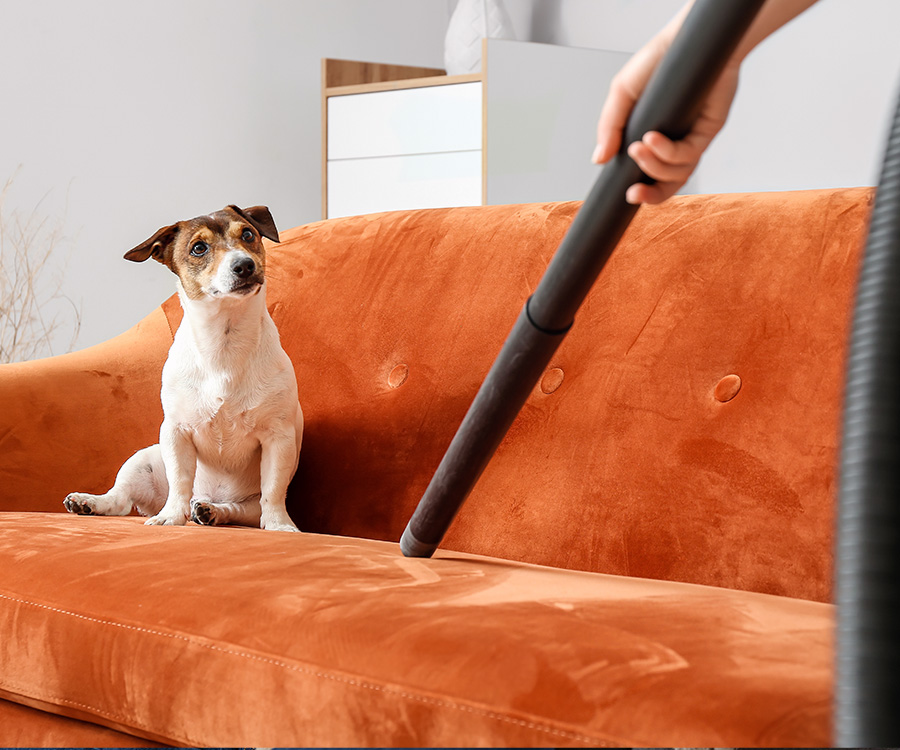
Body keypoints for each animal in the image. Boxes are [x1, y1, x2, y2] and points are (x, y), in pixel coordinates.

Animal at [65, 206, 302, 536]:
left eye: (248, 234)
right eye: (198, 248)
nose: (244, 264)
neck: (224, 344)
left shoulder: (278, 438)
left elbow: (274, 489)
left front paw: (280, 525)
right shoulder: (176, 432)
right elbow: (180, 479)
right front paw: (171, 517)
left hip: (246, 507)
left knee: (237, 509)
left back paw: (210, 510)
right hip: (143, 458)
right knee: (121, 500)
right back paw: (91, 502)